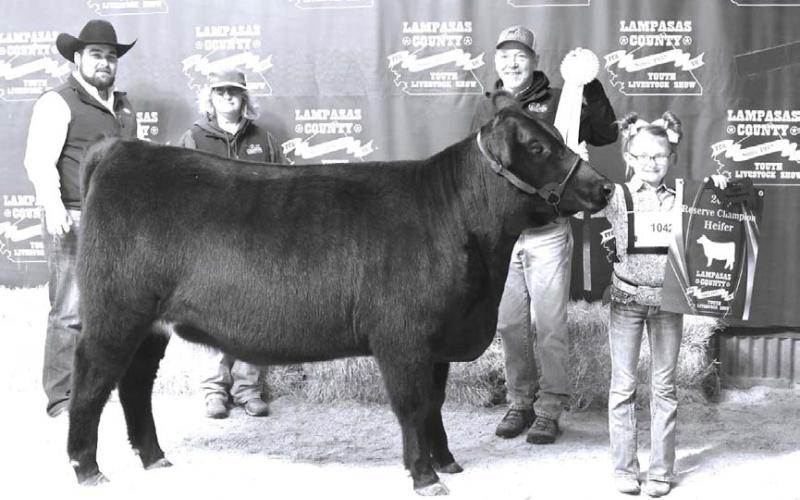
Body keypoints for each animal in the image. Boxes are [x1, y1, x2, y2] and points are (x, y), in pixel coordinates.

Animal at [67, 94, 613, 496]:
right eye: (538, 148)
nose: (606, 188)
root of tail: (121, 150)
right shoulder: (402, 338)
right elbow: (413, 405)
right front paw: (424, 476)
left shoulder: (437, 340)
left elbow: (435, 403)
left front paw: (447, 462)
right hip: (115, 314)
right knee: (91, 383)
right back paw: (87, 469)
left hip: (149, 325)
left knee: (134, 386)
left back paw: (155, 459)